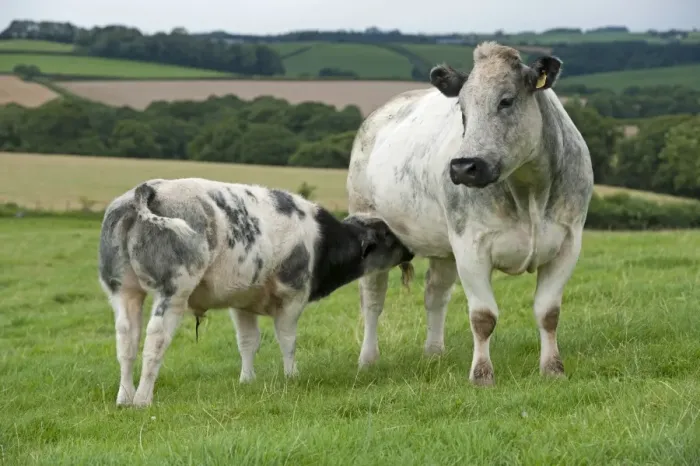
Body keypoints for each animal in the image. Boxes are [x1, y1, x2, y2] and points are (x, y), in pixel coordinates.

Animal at [98, 177, 415, 407]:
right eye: (388, 236)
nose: (411, 250)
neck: (321, 242)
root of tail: (145, 191)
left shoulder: (241, 303)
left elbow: (248, 342)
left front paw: (247, 380)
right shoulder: (293, 296)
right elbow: (287, 340)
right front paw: (291, 376)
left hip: (123, 291)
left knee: (126, 341)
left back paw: (124, 397)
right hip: (172, 291)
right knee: (155, 339)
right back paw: (142, 399)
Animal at [346, 41, 594, 386]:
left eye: (506, 100)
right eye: (462, 109)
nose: (464, 166)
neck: (528, 191)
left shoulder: (568, 242)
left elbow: (548, 313)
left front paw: (553, 369)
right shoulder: (471, 247)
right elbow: (482, 317)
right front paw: (481, 375)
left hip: (443, 246)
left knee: (435, 293)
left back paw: (434, 353)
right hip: (370, 225)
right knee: (372, 299)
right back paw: (368, 360)